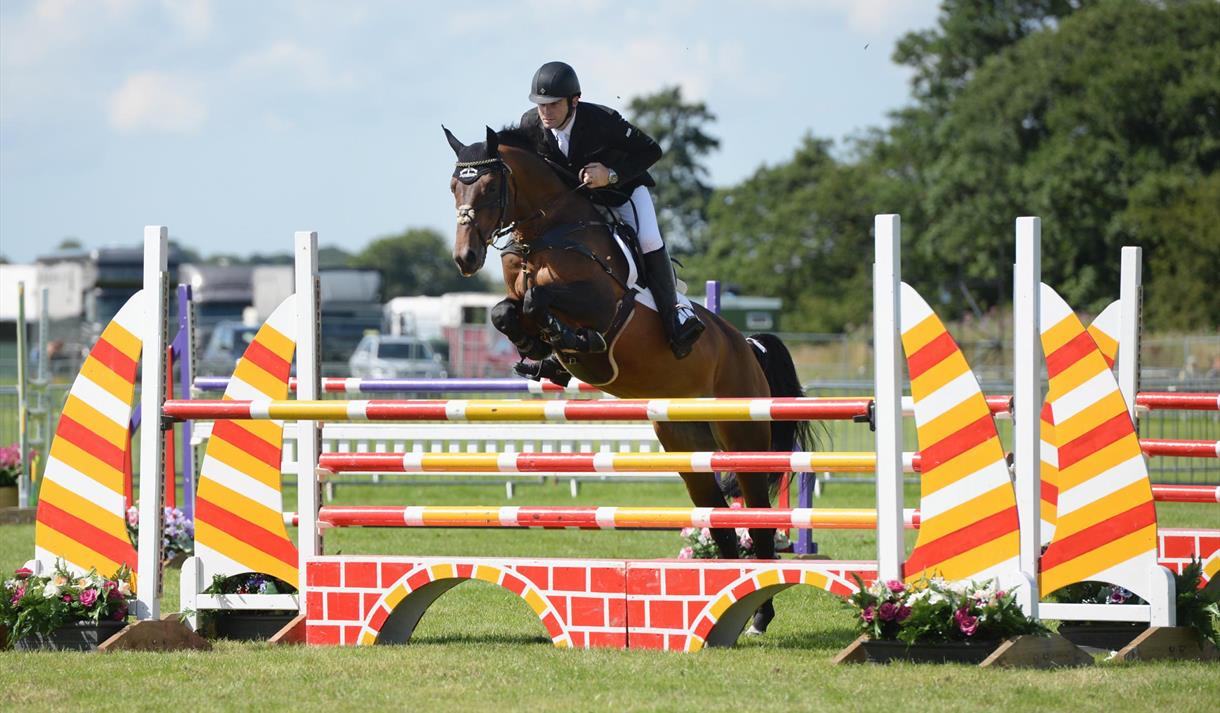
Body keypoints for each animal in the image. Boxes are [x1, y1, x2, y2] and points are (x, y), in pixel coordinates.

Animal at [444, 125, 814, 629]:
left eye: (487, 187)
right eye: (454, 186)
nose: (465, 257)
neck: (547, 232)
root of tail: (748, 347)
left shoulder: (603, 302)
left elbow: (542, 301)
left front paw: (567, 337)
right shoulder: (515, 295)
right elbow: (506, 310)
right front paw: (539, 355)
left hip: (741, 433)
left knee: (756, 517)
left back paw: (759, 612)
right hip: (685, 443)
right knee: (717, 519)